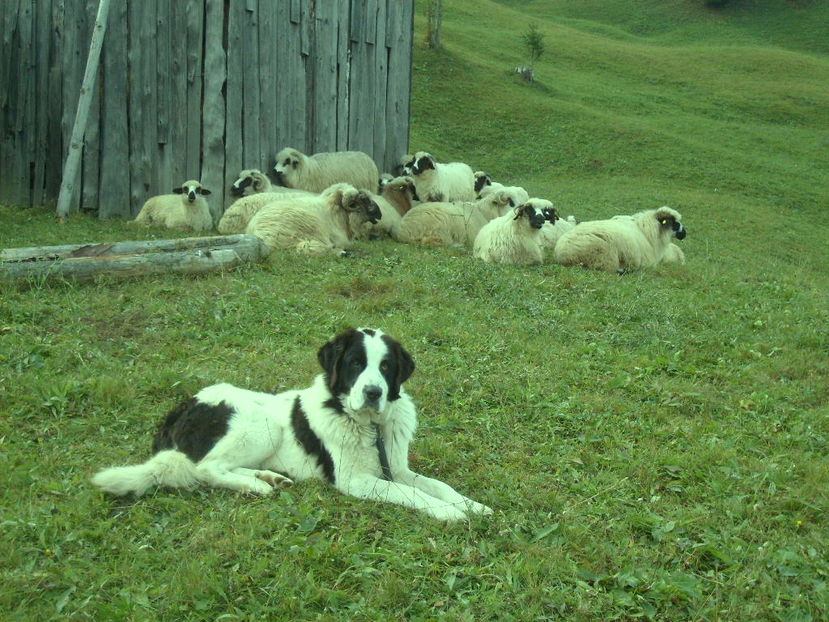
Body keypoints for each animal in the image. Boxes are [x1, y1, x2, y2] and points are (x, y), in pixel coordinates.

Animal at [90, 330, 492, 524]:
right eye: (355, 364)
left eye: (386, 367)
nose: (374, 392)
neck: (368, 426)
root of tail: (182, 408)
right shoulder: (357, 480)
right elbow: (412, 494)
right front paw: (450, 514)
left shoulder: (396, 467)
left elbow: (436, 485)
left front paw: (472, 505)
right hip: (260, 424)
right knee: (206, 468)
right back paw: (256, 487)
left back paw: (270, 478)